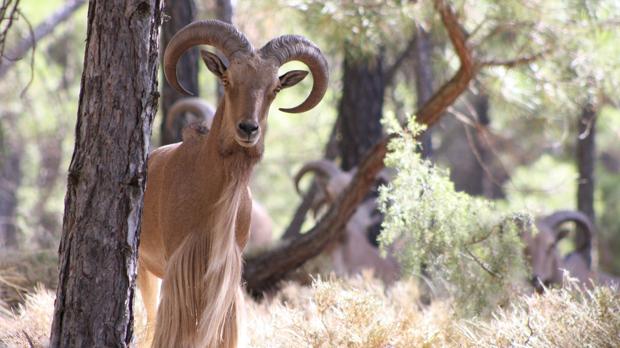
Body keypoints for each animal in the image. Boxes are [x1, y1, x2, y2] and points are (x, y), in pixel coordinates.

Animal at [138, 21, 326, 348]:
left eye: (275, 88)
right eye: (228, 79)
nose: (248, 128)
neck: (211, 189)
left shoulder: (226, 278)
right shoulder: (179, 271)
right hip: (144, 268)